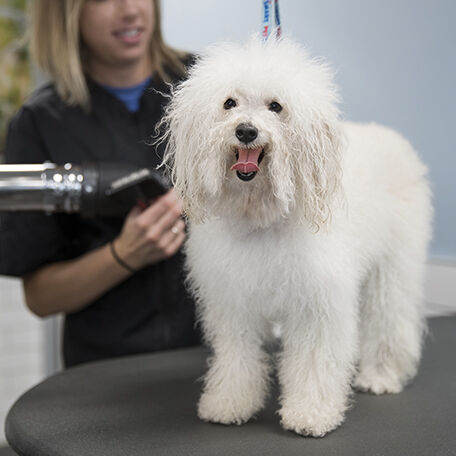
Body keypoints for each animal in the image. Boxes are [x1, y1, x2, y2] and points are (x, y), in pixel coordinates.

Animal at [159, 37, 432, 436]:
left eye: (276, 106)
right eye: (229, 103)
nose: (246, 130)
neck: (263, 216)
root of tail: (393, 139)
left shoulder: (316, 304)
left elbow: (314, 360)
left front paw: (311, 414)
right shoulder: (234, 302)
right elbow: (238, 357)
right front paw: (229, 403)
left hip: (392, 268)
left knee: (389, 321)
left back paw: (381, 376)